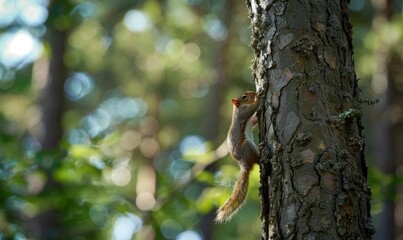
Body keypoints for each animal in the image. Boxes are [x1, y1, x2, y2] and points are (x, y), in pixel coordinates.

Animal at [215, 90, 262, 223]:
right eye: (244, 97)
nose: (253, 92)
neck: (236, 109)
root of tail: (244, 164)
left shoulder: (249, 119)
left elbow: (254, 119)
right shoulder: (242, 114)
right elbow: (251, 109)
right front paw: (259, 97)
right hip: (246, 145)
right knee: (257, 160)